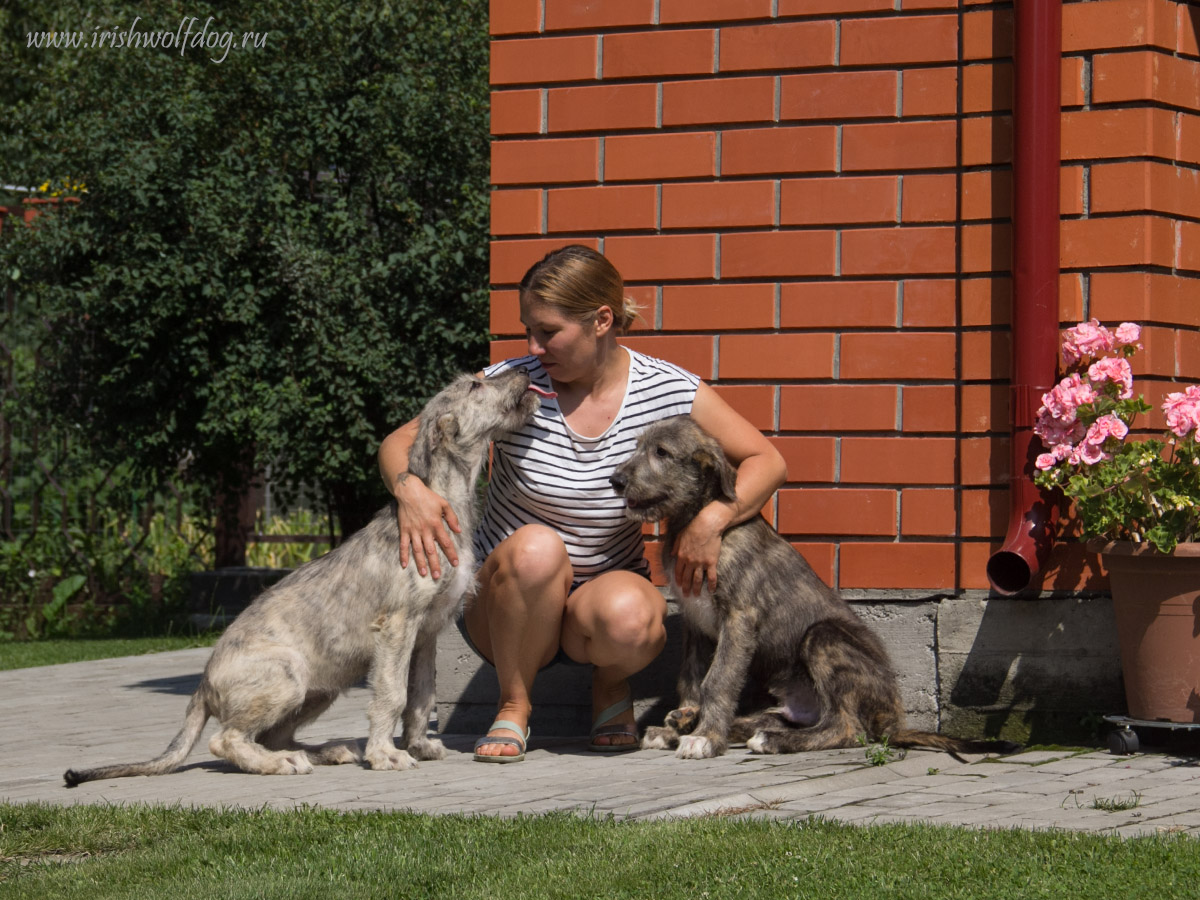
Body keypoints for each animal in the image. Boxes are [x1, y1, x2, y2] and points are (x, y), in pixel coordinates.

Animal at [65, 369, 544, 787]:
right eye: (475, 385)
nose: (524, 370)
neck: (443, 503)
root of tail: (202, 686)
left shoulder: (426, 634)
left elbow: (421, 696)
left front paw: (418, 744)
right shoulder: (397, 626)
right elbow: (392, 694)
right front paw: (385, 754)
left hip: (319, 689)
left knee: (274, 735)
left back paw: (324, 751)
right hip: (287, 675)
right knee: (226, 740)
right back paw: (281, 763)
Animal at [614, 417, 1017, 763]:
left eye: (661, 452)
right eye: (638, 446)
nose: (615, 480)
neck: (696, 521)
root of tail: (892, 717)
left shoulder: (739, 618)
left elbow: (719, 679)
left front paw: (705, 737)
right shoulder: (696, 623)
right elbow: (691, 678)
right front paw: (682, 724)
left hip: (824, 638)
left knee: (849, 728)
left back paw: (771, 741)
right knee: (775, 719)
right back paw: (699, 724)